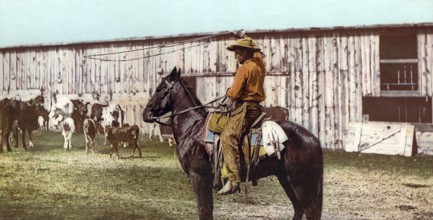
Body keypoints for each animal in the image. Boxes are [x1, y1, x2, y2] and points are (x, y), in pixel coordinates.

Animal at [143, 67, 322, 220]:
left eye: (159, 88)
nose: (145, 113)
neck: (192, 127)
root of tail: (313, 139)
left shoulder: (198, 177)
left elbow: (203, 210)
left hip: (301, 184)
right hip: (286, 180)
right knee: (298, 209)